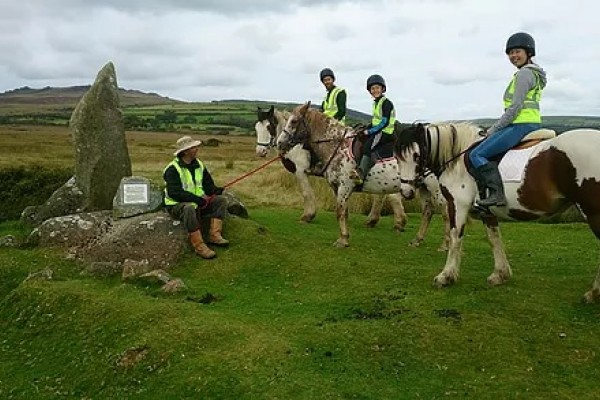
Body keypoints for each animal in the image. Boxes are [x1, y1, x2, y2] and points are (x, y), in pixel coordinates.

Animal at [255, 104, 410, 234]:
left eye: (269, 127)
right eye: (256, 128)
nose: (260, 151)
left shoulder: (300, 171)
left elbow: (306, 193)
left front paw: (308, 216)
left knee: (390, 195)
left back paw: (397, 222)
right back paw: (378, 220)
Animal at [274, 101, 448, 248]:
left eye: (294, 121)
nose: (279, 143)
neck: (337, 146)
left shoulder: (344, 186)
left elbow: (339, 211)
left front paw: (342, 240)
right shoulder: (336, 187)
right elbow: (343, 212)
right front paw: (344, 237)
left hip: (435, 188)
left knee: (445, 210)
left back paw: (445, 245)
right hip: (423, 187)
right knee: (428, 211)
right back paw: (417, 240)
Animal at [396, 122, 600, 304]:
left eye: (416, 155)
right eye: (397, 158)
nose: (406, 191)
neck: (457, 159)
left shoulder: (457, 205)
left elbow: (455, 238)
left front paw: (446, 276)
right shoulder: (487, 212)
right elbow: (494, 239)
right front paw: (500, 274)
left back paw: (594, 293)